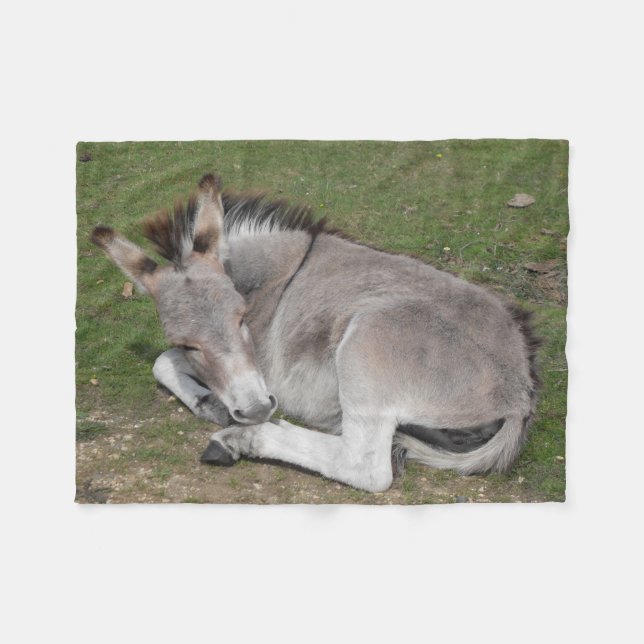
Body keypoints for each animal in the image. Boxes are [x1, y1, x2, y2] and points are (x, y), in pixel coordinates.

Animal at [91, 173, 539, 492]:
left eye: (242, 318)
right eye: (188, 342)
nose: (255, 409)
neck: (261, 278)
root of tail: (518, 393)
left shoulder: (263, 369)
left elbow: (161, 360)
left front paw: (220, 411)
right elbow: (163, 359)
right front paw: (207, 401)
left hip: (367, 344)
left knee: (364, 467)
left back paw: (244, 439)